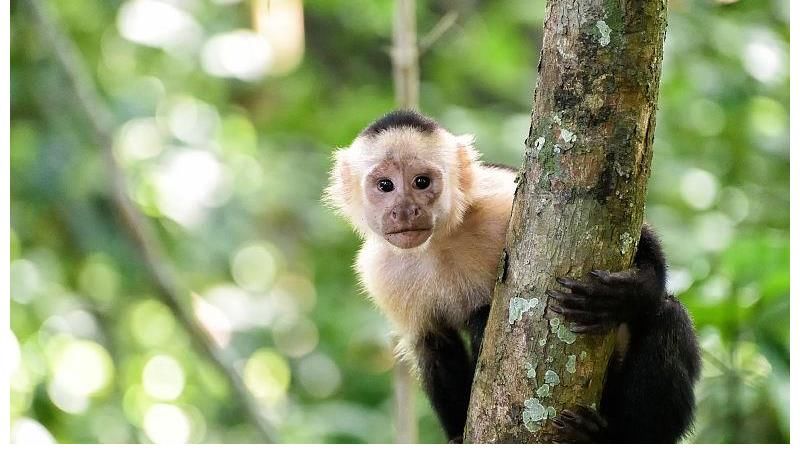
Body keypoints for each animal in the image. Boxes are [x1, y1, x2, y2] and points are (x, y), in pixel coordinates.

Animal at [324, 110, 700, 444]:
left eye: (421, 182)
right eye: (385, 185)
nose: (405, 210)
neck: (438, 243)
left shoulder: (498, 200)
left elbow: (638, 237)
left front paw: (627, 293)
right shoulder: (380, 271)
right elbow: (433, 343)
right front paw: (457, 437)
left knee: (667, 315)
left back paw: (617, 438)